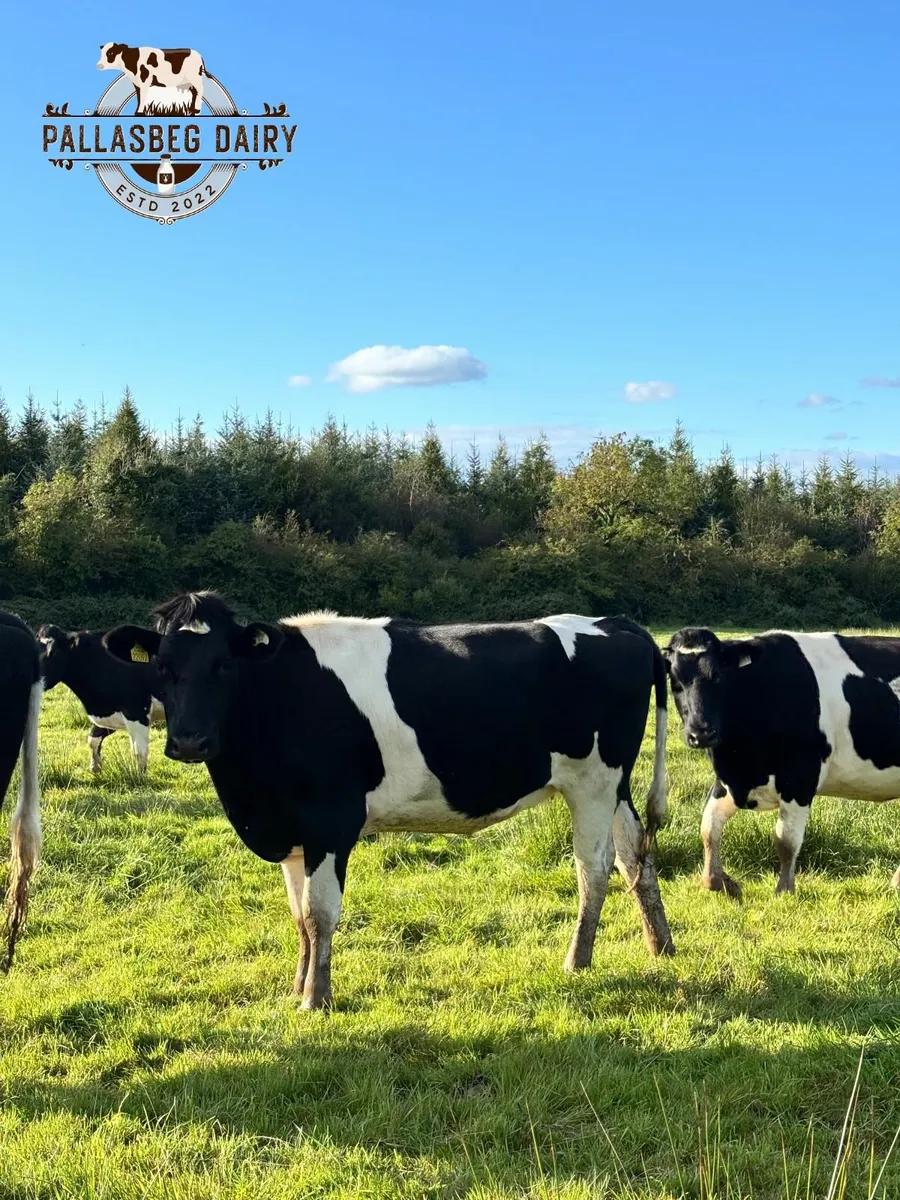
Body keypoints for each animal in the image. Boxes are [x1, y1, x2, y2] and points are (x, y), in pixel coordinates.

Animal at [36, 626, 164, 774]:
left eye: (52, 654)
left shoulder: (136, 711)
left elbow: (139, 752)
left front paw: (139, 777)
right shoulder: (110, 710)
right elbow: (93, 739)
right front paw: (95, 766)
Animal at [103, 592, 675, 1010]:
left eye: (224, 665)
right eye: (162, 667)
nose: (189, 741)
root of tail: (614, 623)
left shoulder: (330, 819)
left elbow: (319, 912)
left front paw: (316, 999)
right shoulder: (290, 830)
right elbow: (297, 915)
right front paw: (298, 986)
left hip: (592, 781)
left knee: (594, 867)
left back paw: (577, 960)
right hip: (614, 785)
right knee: (635, 855)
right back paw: (661, 946)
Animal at [664, 625, 900, 900]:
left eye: (719, 677)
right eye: (675, 681)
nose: (701, 733)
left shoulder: (799, 778)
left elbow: (786, 841)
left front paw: (784, 891)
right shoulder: (729, 780)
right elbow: (709, 828)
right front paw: (723, 883)